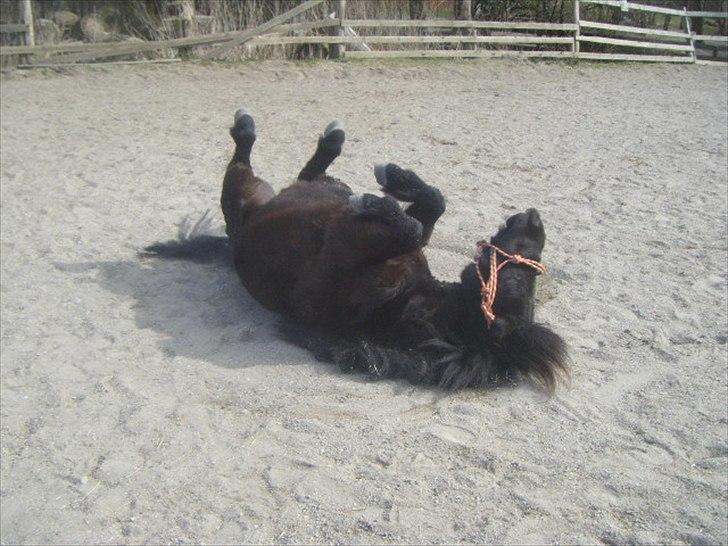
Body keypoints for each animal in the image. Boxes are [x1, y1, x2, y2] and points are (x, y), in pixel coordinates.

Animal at [144, 109, 569, 392]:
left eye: (518, 279)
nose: (534, 219)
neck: (407, 303)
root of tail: (236, 238)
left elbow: (412, 227)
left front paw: (374, 200)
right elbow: (431, 207)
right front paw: (395, 180)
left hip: (240, 192)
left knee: (244, 157)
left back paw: (250, 125)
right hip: (300, 188)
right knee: (311, 174)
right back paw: (336, 143)